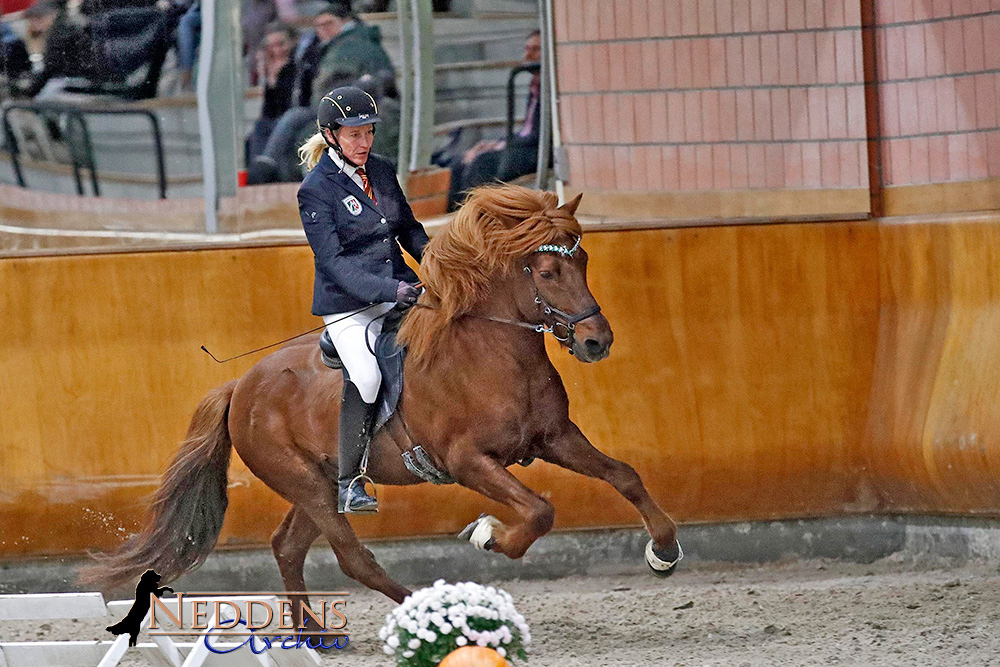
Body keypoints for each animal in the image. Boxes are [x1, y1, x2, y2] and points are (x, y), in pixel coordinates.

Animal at [82, 185, 684, 612]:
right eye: (547, 270)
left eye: (582, 262)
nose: (596, 342)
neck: (491, 355)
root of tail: (240, 387)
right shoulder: (467, 461)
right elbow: (539, 510)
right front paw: (487, 536)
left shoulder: (555, 438)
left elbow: (624, 475)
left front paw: (664, 551)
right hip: (306, 484)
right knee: (353, 559)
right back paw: (424, 610)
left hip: (320, 482)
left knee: (288, 546)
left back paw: (315, 638)